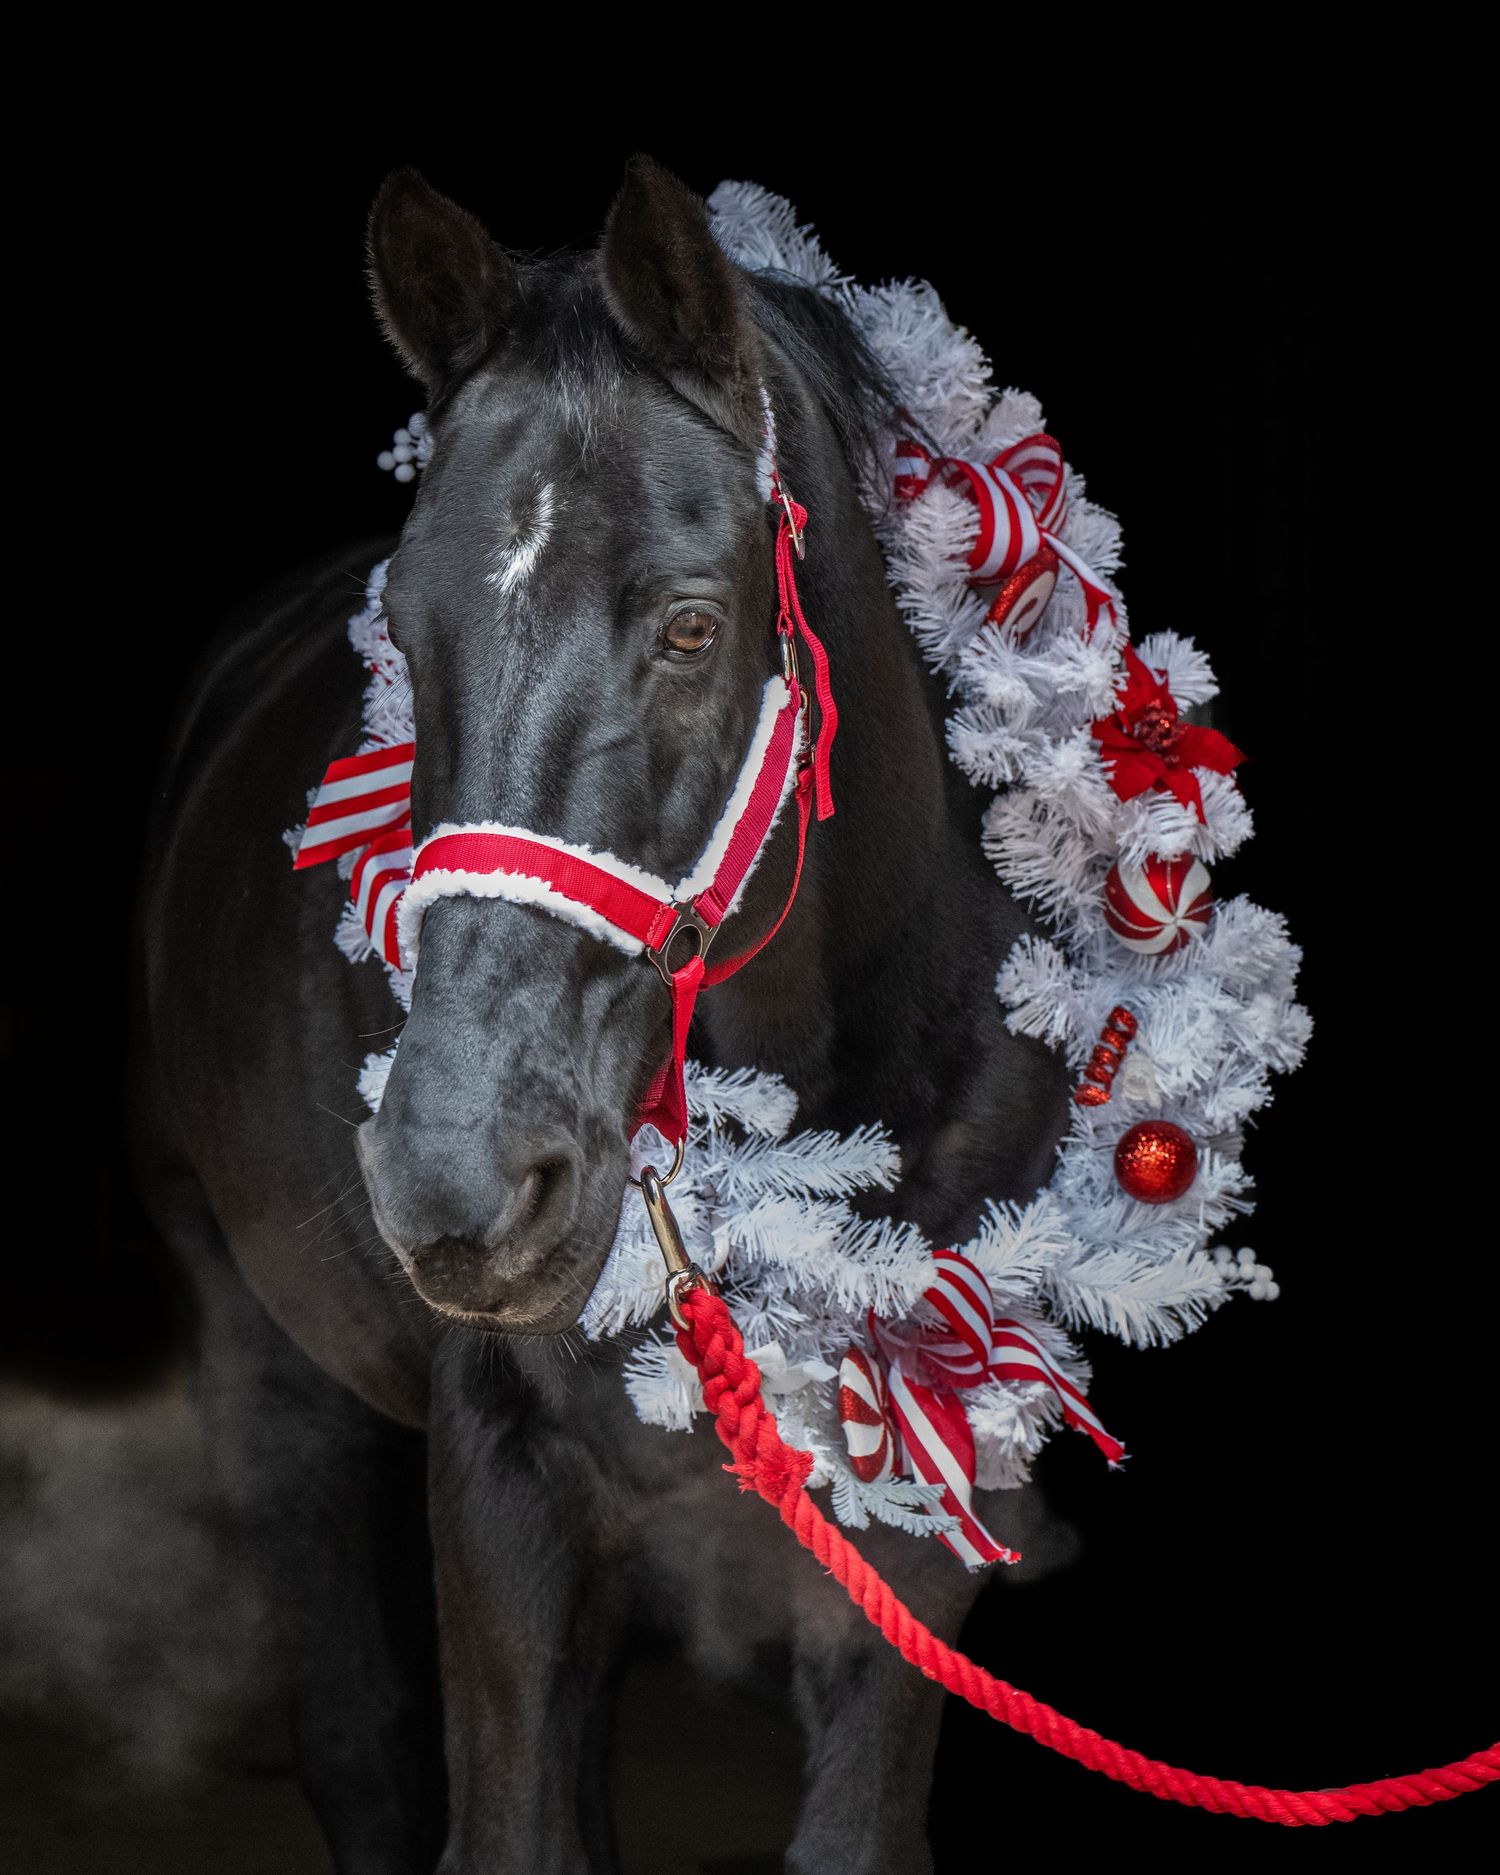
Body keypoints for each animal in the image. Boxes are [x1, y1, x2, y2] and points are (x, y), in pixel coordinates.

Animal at [131, 154, 1074, 1874]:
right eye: (404, 631)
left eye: (692, 623)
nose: (456, 1180)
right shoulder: (507, 1480)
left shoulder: (910, 1515)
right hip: (271, 1369)